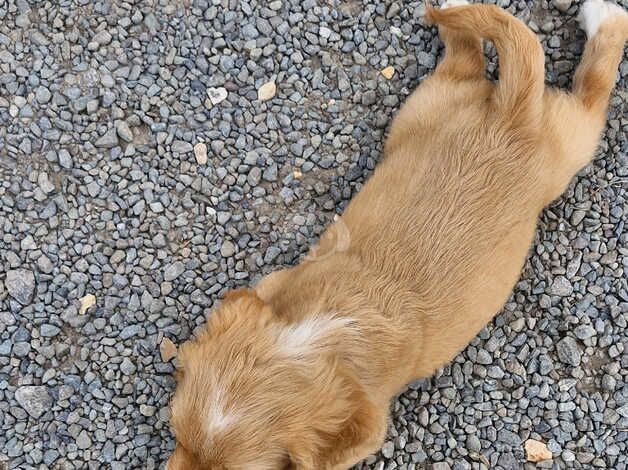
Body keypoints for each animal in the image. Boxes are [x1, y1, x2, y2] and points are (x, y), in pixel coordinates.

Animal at [167, 1, 628, 468]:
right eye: (177, 434)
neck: (318, 337)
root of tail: (512, 111)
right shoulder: (278, 286)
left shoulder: (367, 419)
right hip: (425, 105)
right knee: (466, 57)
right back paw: (451, 8)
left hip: (570, 145)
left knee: (591, 91)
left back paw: (603, 16)